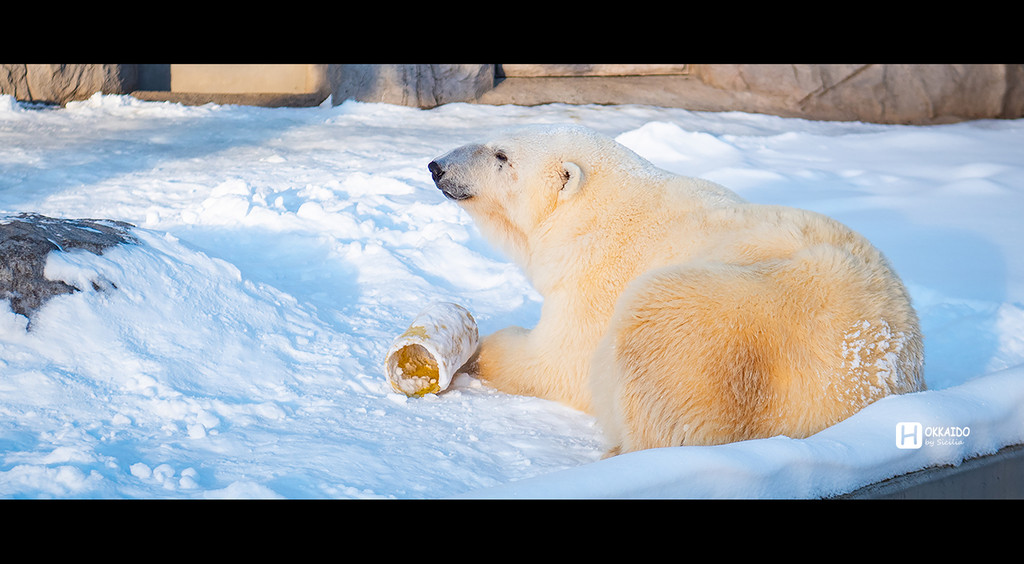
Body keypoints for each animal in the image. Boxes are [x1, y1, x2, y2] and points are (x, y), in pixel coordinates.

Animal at [428, 123, 925, 454]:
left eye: (501, 155)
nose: (436, 166)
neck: (599, 212)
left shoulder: (595, 278)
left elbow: (558, 363)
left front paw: (478, 351)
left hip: (741, 319)